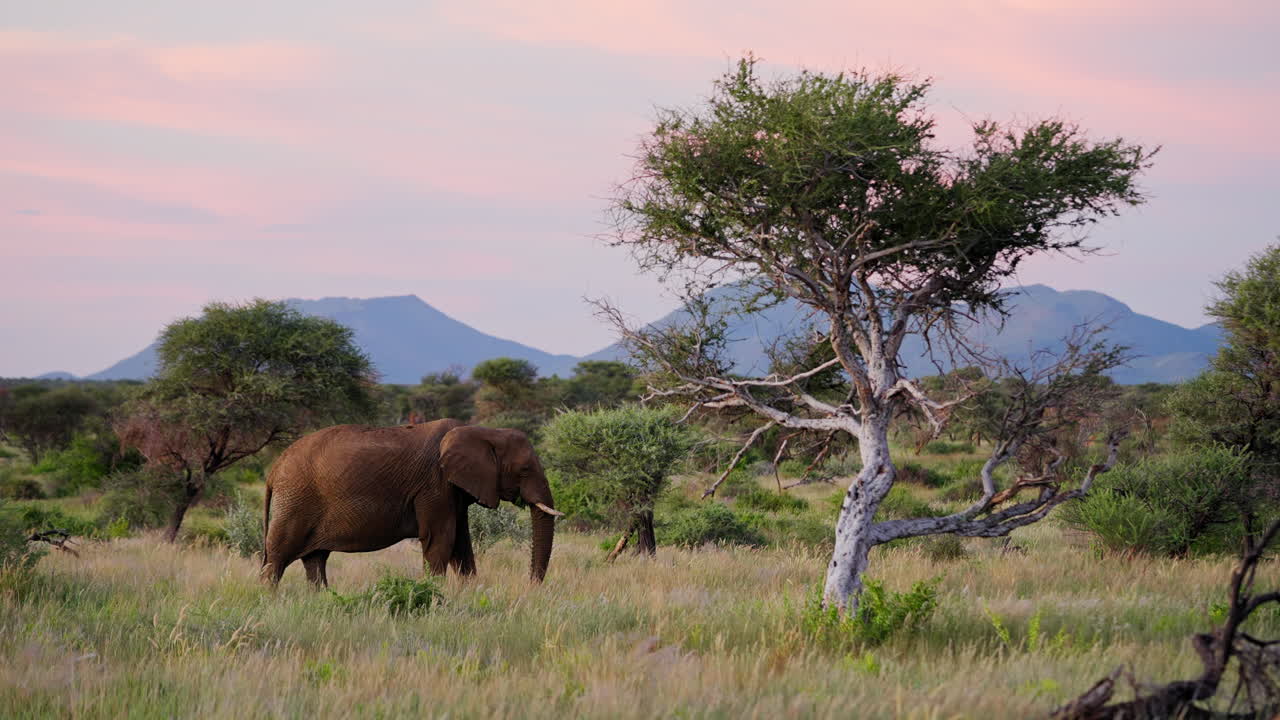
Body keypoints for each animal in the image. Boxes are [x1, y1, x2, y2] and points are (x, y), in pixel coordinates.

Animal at [261, 419, 561, 587]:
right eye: (524, 470)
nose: (531, 587)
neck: (483, 431)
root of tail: (273, 469)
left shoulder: (454, 490)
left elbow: (462, 542)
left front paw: (469, 592)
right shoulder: (435, 484)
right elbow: (441, 540)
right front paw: (436, 594)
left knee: (315, 561)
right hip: (296, 499)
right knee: (277, 559)